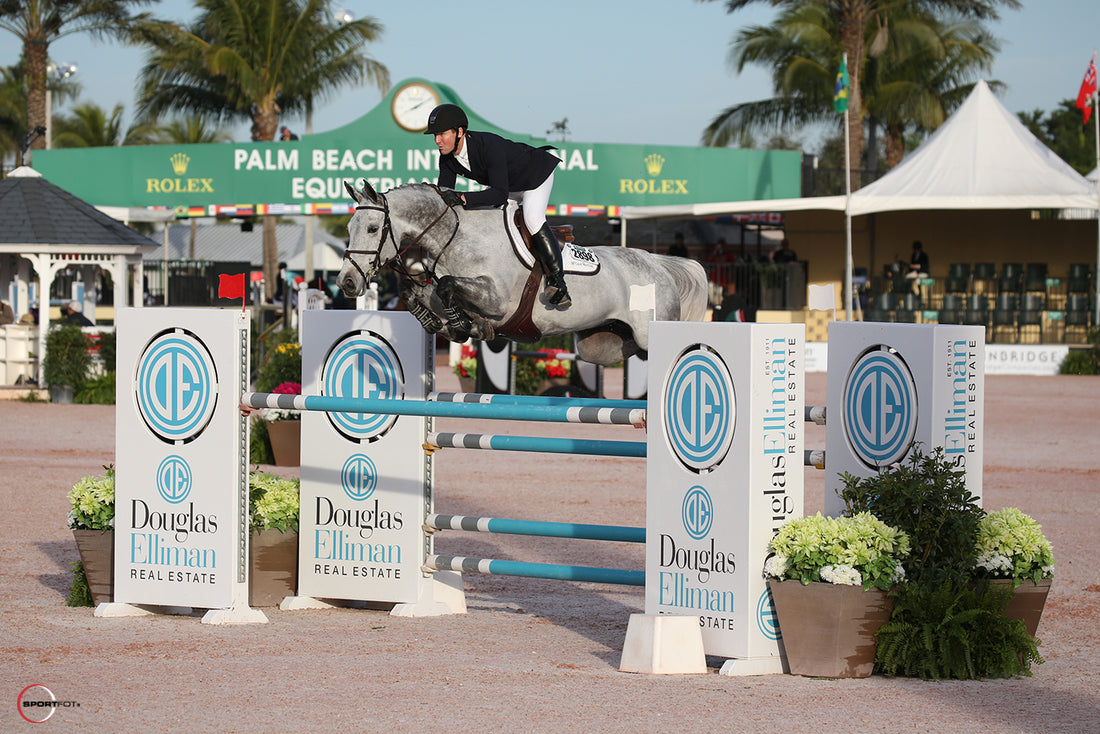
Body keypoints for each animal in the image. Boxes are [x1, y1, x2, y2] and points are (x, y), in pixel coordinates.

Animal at [338, 178, 708, 367]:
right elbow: (420, 292)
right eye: (349, 227)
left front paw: (464, 326)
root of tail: (658, 263)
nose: (347, 282)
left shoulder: (499, 300)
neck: (457, 237)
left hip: (650, 328)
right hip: (602, 346)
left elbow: (447, 286)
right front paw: (443, 323)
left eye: (372, 228)